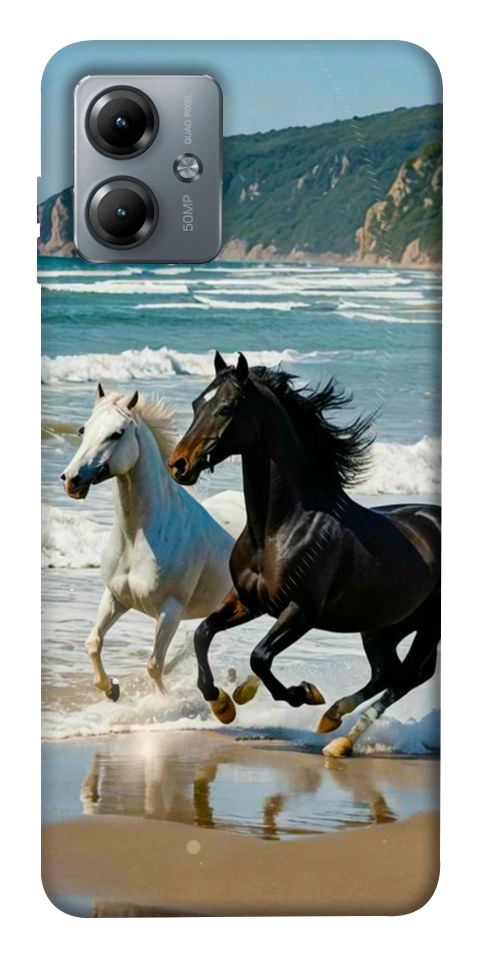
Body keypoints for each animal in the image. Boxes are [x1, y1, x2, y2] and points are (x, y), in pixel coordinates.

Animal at [61, 383, 234, 701]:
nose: (71, 480)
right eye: (83, 429)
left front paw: (161, 703)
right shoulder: (116, 597)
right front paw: (111, 689)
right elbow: (93, 643)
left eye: (116, 433)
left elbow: (154, 664)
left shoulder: (170, 611)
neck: (137, 538)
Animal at [167, 352, 441, 757]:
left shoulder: (302, 611)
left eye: (227, 408)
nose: (179, 464)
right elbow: (203, 633)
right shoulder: (250, 601)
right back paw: (333, 722)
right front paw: (223, 704)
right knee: (388, 672)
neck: (279, 528)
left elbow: (260, 657)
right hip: (383, 626)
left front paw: (303, 693)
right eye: (196, 404)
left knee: (407, 676)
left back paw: (339, 736)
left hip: (426, 627)